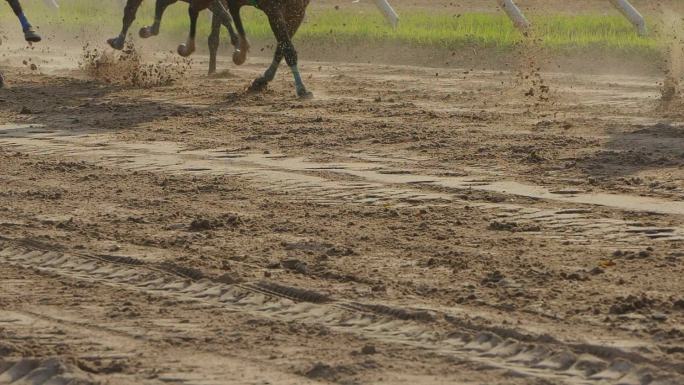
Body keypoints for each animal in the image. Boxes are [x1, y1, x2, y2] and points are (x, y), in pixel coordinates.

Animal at [178, 0, 314, 98]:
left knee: (208, 25)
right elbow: (288, 49)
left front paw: (261, 81)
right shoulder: (272, 8)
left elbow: (282, 47)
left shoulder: (297, 11)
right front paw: (301, 88)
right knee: (198, 12)